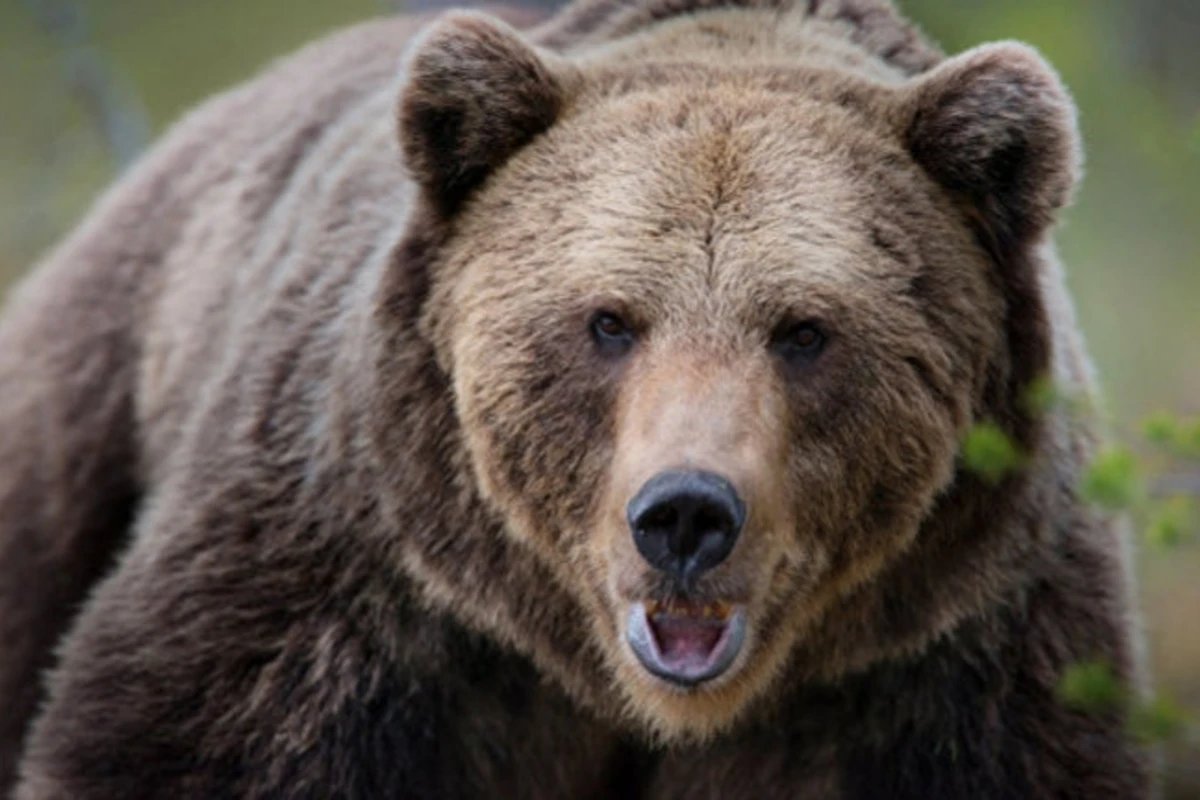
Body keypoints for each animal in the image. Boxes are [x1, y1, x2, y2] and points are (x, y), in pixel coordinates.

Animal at [0, 0, 1154, 796]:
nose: (686, 513)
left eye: (805, 329)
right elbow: (187, 739)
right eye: (609, 320)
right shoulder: (350, 600)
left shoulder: (950, 662)